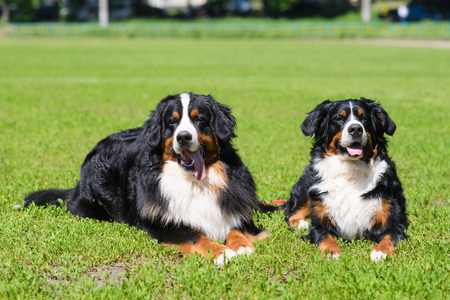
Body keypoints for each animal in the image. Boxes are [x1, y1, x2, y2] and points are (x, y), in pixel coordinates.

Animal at [24, 92, 270, 264]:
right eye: (172, 122)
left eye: (199, 120)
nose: (183, 137)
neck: (194, 182)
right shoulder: (162, 222)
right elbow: (194, 235)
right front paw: (222, 253)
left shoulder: (235, 207)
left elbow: (236, 227)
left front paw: (242, 246)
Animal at [284, 98, 408, 260]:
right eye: (338, 118)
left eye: (364, 118)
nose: (356, 129)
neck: (350, 172)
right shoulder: (320, 223)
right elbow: (325, 237)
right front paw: (333, 252)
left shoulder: (393, 221)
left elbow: (389, 236)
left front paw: (380, 252)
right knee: (292, 212)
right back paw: (301, 223)